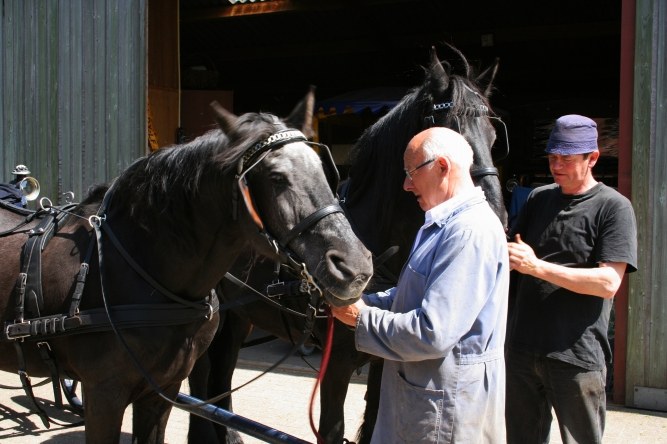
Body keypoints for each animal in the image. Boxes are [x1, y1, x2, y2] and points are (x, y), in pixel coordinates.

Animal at [0, 89, 373, 443]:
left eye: (323, 169)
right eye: (277, 177)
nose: (355, 267)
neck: (139, 268)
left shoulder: (160, 391)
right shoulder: (104, 394)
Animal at [187, 45, 508, 444]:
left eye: (493, 137)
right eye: (453, 131)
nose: (495, 214)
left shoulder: (387, 356)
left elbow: (372, 421)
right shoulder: (336, 365)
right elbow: (331, 428)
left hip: (240, 316)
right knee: (203, 378)